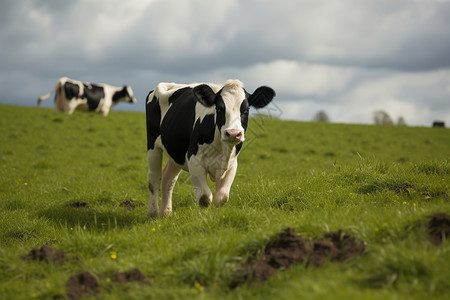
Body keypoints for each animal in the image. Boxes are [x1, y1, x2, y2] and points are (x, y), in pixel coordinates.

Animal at [146, 78, 276, 217]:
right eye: (219, 108)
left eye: (246, 110)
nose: (233, 133)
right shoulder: (194, 160)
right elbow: (205, 197)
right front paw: (203, 217)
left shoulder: (232, 163)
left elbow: (222, 198)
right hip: (152, 145)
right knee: (154, 178)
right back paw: (153, 213)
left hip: (176, 151)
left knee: (168, 178)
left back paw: (165, 213)